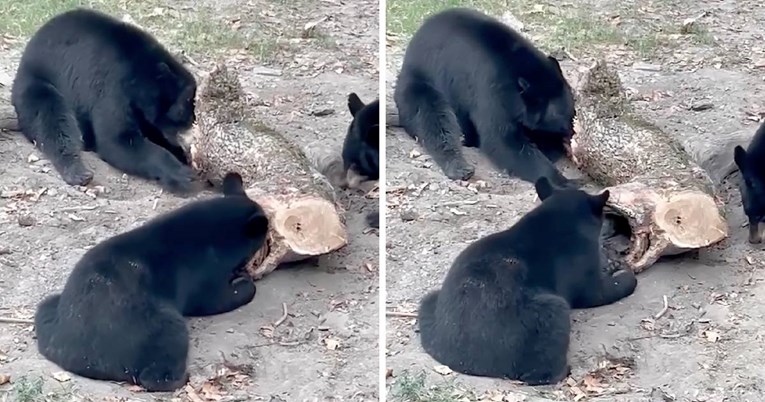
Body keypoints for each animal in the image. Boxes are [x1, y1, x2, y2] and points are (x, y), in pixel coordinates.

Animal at [11, 7, 198, 193]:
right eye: (188, 102)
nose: (193, 121)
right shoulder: (111, 85)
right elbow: (117, 139)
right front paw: (183, 175)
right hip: (38, 85)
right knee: (54, 119)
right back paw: (78, 171)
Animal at [34, 171, 270, 392]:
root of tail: (75, 357)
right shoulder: (205, 274)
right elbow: (216, 298)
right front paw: (244, 281)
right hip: (159, 323)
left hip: (52, 307)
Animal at [390, 7, 576, 187]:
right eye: (555, 112)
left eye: (570, 104)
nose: (570, 128)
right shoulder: (491, 87)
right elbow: (501, 140)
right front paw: (563, 180)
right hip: (420, 85)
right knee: (434, 118)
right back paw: (460, 167)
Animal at [414, 177, 636, 384]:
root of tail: (464, 362)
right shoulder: (587, 281)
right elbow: (607, 288)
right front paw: (626, 274)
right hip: (555, 308)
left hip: (430, 300)